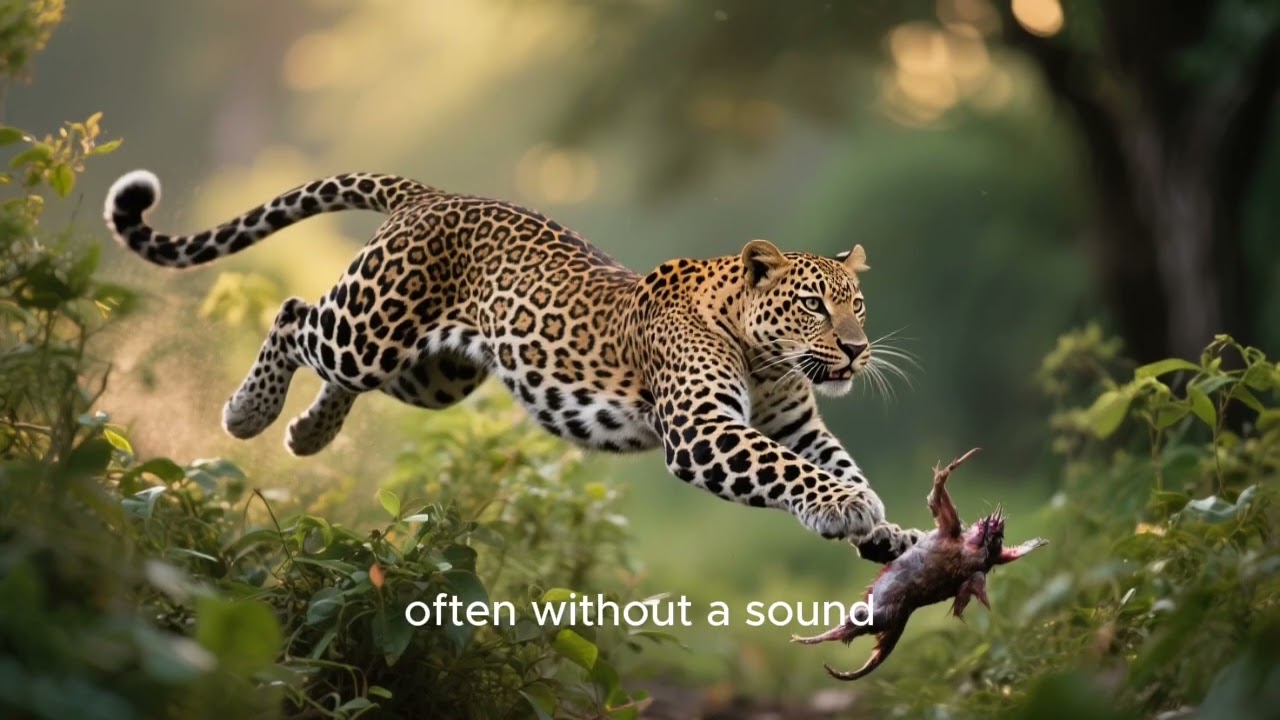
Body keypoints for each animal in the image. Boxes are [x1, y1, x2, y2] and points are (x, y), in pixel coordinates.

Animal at [103, 169, 925, 563]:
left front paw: (892, 535)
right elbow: (796, 472)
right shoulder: (701, 428)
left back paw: (309, 434)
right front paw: (856, 513)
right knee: (295, 313)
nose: (857, 349)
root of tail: (431, 194)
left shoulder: (797, 425)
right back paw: (249, 413)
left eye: (857, 304)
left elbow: (832, 462)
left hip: (430, 374)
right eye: (814, 305)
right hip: (367, 328)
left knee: (340, 365)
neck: (767, 360)